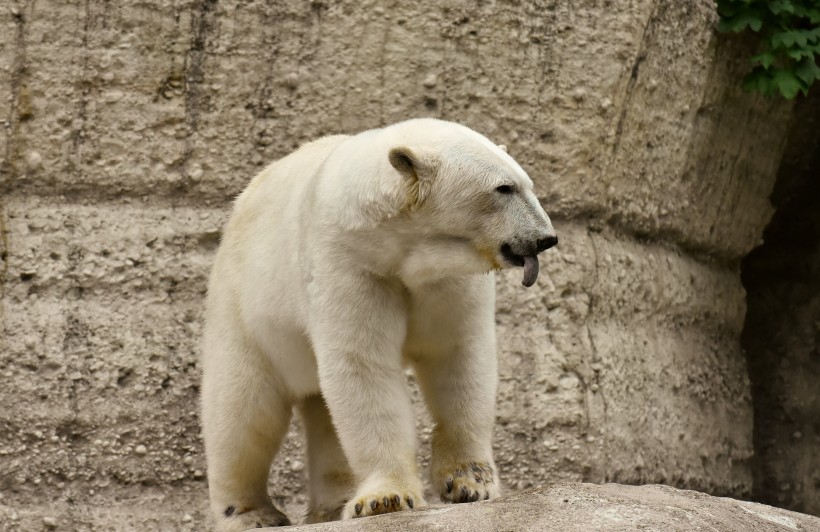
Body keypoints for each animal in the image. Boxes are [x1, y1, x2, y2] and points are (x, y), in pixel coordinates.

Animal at [199, 118, 556, 528]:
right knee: (242, 410)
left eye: (528, 184)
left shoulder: (447, 278)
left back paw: (331, 505)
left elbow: (457, 356)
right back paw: (251, 514)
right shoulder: (348, 263)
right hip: (246, 310)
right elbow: (363, 366)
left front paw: (471, 483)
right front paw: (387, 498)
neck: (394, 243)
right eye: (504, 187)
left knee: (319, 412)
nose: (546, 238)